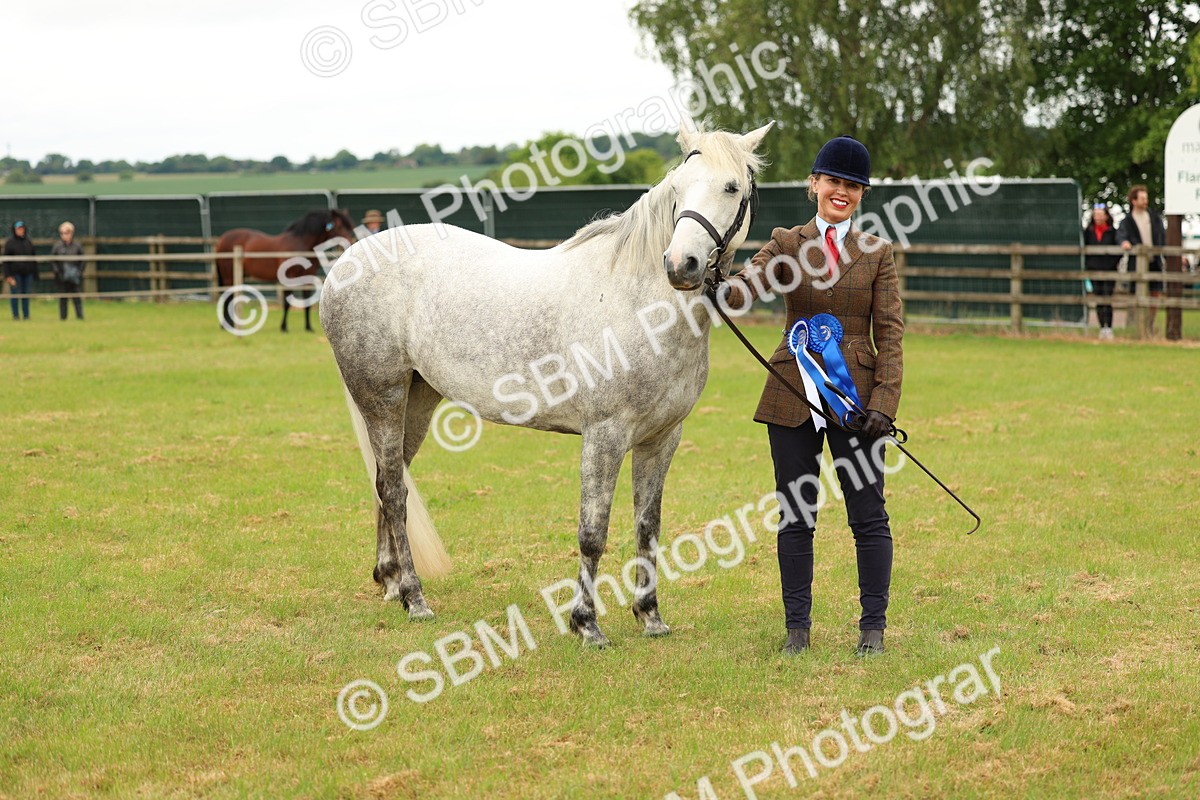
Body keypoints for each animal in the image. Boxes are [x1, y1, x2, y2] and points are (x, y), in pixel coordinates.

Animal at [214, 209, 357, 332]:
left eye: (350, 226)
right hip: (229, 276)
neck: (300, 244)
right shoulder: (290, 278)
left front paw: (308, 327)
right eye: (339, 226)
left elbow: (307, 302)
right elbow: (287, 303)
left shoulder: (308, 277)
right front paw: (284, 327)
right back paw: (227, 325)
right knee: (227, 296)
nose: (349, 243)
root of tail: (221, 239)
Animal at [320, 122, 773, 646]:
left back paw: (391, 582)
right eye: (678, 188)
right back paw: (415, 599)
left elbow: (648, 527)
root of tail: (347, 263)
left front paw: (651, 617)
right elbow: (592, 532)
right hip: (383, 397)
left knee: (386, 482)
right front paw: (587, 624)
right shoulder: (604, 435)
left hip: (417, 399)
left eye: (732, 187)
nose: (682, 265)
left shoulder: (662, 439)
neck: (639, 302)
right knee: (393, 490)